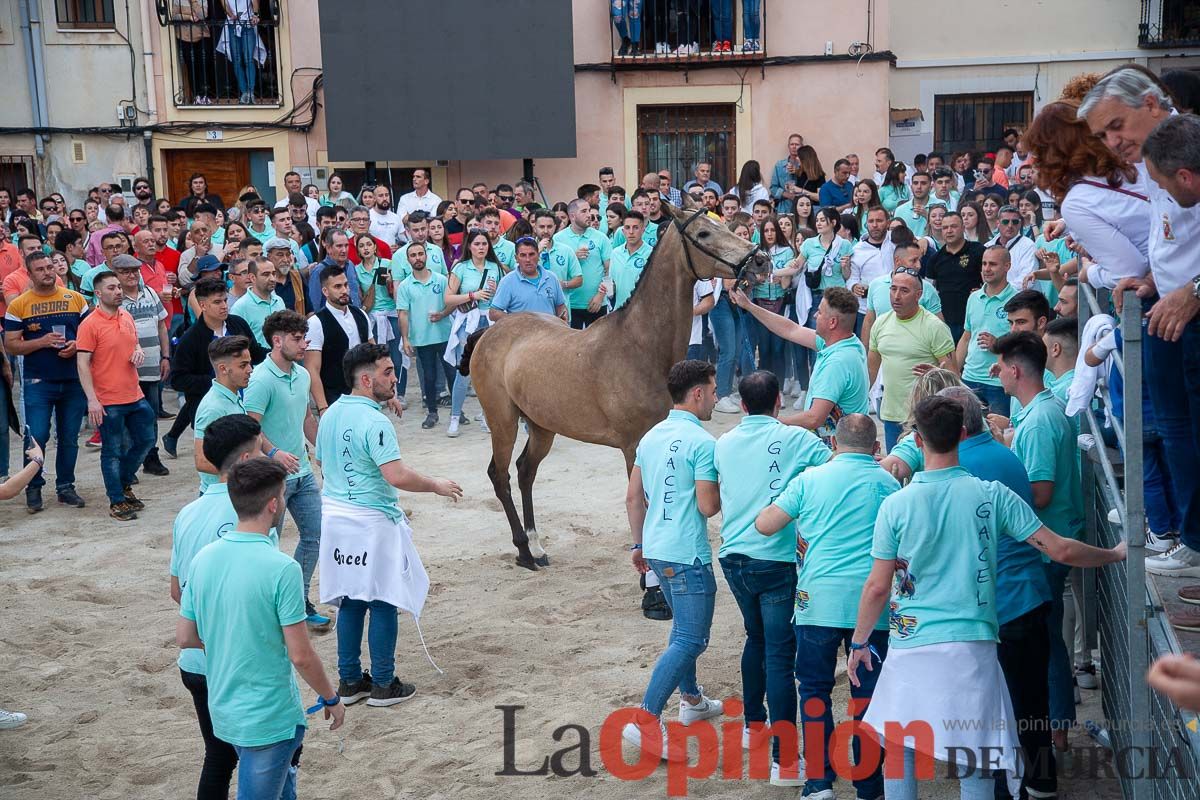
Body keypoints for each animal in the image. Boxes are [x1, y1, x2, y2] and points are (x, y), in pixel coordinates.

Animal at [453, 203, 772, 573]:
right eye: (704, 233)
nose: (761, 260)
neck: (639, 346)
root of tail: (489, 333)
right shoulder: (633, 446)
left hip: (542, 426)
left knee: (524, 472)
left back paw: (537, 546)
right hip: (503, 421)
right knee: (500, 475)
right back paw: (523, 551)